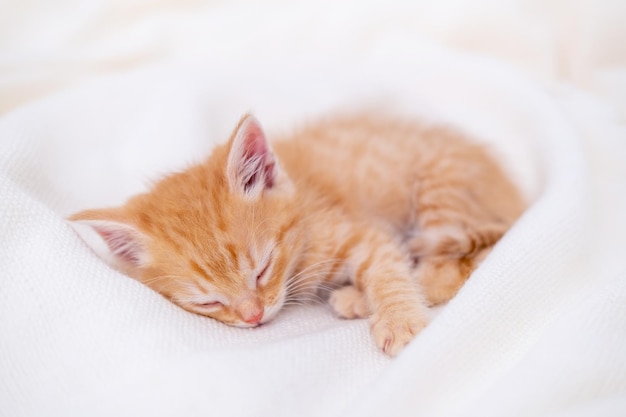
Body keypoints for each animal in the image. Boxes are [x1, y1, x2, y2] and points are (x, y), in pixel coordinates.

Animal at [70, 113, 524, 354]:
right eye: (209, 302)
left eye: (262, 268)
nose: (253, 317)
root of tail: (516, 194)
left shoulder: (363, 234)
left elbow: (388, 271)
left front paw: (400, 321)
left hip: (440, 191)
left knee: (446, 271)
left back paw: (360, 297)